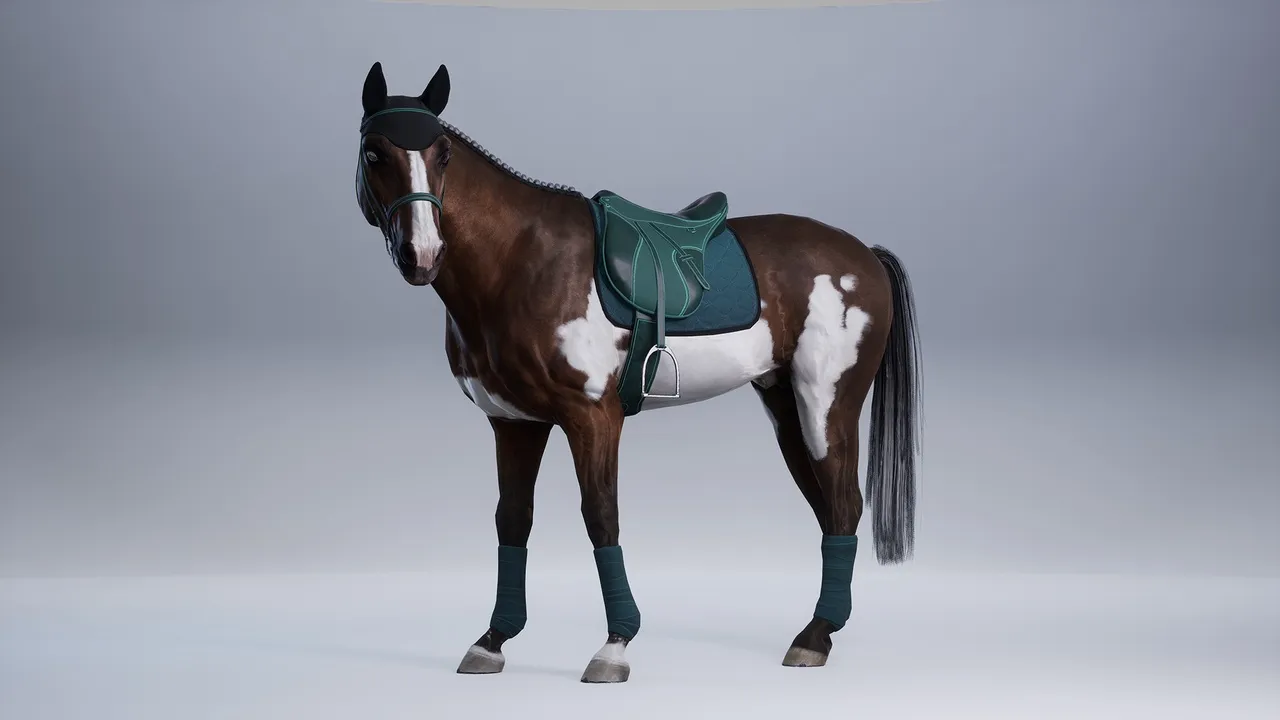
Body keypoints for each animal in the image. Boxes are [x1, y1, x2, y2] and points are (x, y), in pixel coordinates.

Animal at [353, 61, 922, 684]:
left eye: (444, 153)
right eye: (374, 153)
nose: (422, 254)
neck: (519, 262)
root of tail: (864, 255)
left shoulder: (593, 417)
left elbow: (601, 516)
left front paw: (615, 646)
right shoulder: (514, 423)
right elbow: (513, 521)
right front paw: (493, 641)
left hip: (826, 403)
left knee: (843, 504)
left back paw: (814, 639)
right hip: (786, 406)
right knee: (830, 511)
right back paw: (820, 631)